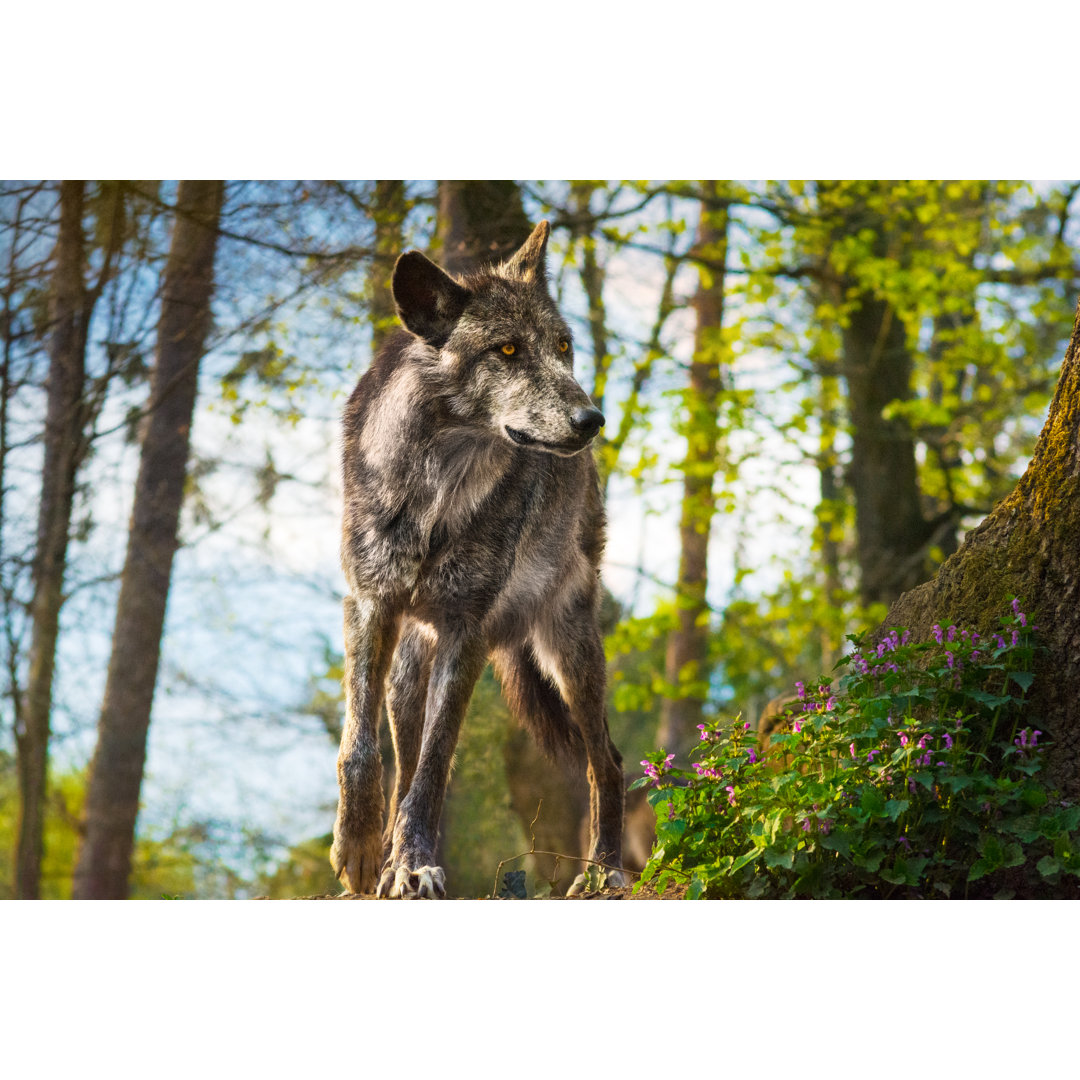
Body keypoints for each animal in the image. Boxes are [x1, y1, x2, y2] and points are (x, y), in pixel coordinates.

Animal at [332, 219, 630, 894]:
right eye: (508, 350)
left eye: (564, 346)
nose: (592, 419)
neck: (435, 490)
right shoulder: (369, 604)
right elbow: (361, 747)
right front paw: (361, 848)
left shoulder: (466, 628)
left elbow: (437, 764)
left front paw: (412, 864)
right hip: (408, 672)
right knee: (402, 754)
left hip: (570, 648)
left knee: (607, 759)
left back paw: (603, 871)